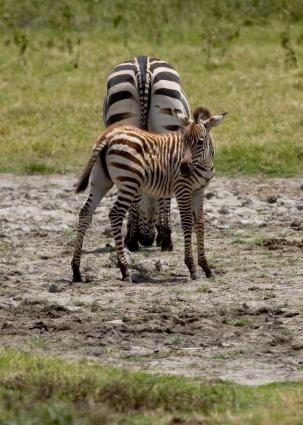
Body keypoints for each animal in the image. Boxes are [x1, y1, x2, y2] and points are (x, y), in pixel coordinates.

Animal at [72, 107, 226, 284]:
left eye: (200, 142)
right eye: (184, 141)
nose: (184, 169)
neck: (203, 164)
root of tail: (109, 135)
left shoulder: (199, 191)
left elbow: (199, 224)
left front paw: (206, 268)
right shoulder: (182, 189)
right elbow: (187, 223)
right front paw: (192, 268)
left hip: (101, 181)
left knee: (85, 213)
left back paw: (76, 271)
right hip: (129, 183)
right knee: (115, 214)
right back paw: (125, 270)